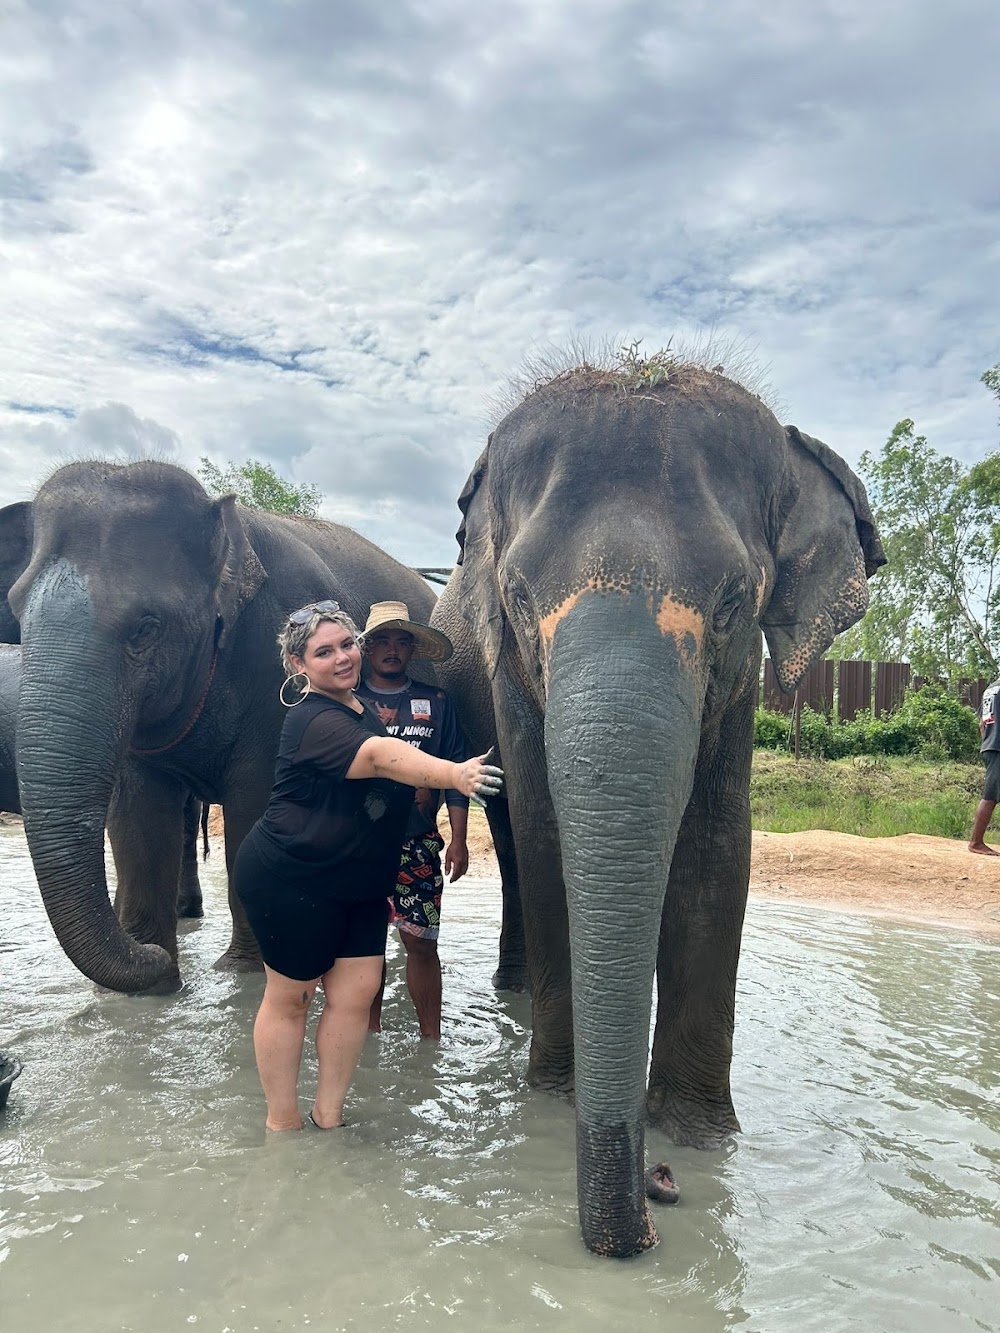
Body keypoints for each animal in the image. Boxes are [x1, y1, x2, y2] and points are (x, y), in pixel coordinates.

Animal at [434, 362, 890, 1258]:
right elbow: (543, 838)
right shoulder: (509, 678)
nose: (660, 1190)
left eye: (733, 601)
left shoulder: (740, 688)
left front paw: (704, 1138)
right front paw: (553, 1104)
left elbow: (718, 848)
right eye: (518, 596)